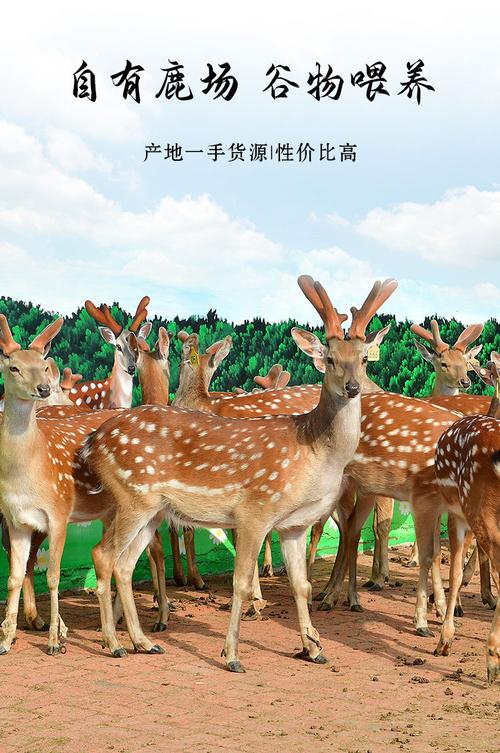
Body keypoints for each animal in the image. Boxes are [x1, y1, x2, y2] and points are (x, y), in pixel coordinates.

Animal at [0, 313, 168, 656]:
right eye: (13, 367)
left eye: (42, 364)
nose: (42, 388)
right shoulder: (17, 519)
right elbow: (14, 575)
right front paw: (7, 640)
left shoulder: (58, 512)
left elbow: (51, 575)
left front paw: (53, 640)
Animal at [81, 275, 398, 670]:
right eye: (329, 358)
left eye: (364, 358)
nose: (353, 388)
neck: (312, 449)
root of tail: (93, 442)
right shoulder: (254, 510)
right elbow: (241, 581)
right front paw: (232, 654)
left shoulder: (293, 524)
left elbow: (301, 585)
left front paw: (313, 649)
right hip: (132, 498)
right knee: (103, 555)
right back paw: (114, 643)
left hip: (152, 510)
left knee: (125, 564)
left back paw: (143, 642)